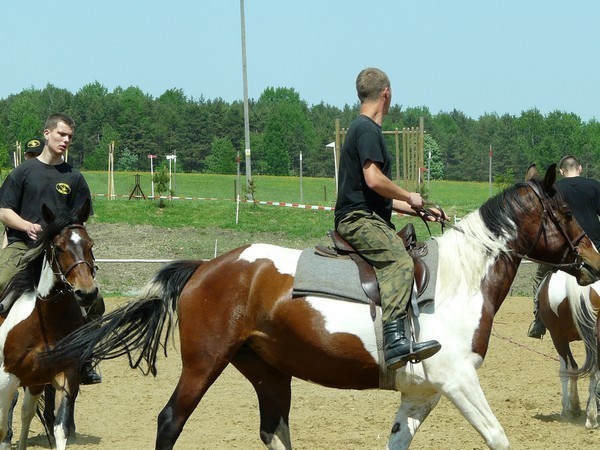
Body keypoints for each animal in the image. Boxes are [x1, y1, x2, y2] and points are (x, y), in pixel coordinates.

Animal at [0, 201, 97, 450]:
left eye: (90, 245)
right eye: (59, 248)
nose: (87, 293)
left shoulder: (66, 374)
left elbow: (60, 429)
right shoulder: (6, 378)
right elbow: (2, 428)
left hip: (35, 381)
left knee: (26, 412)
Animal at [536, 270, 600, 428]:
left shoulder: (558, 337)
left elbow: (566, 369)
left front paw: (571, 408)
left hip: (558, 338)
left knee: (569, 368)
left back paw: (576, 412)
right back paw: (592, 415)